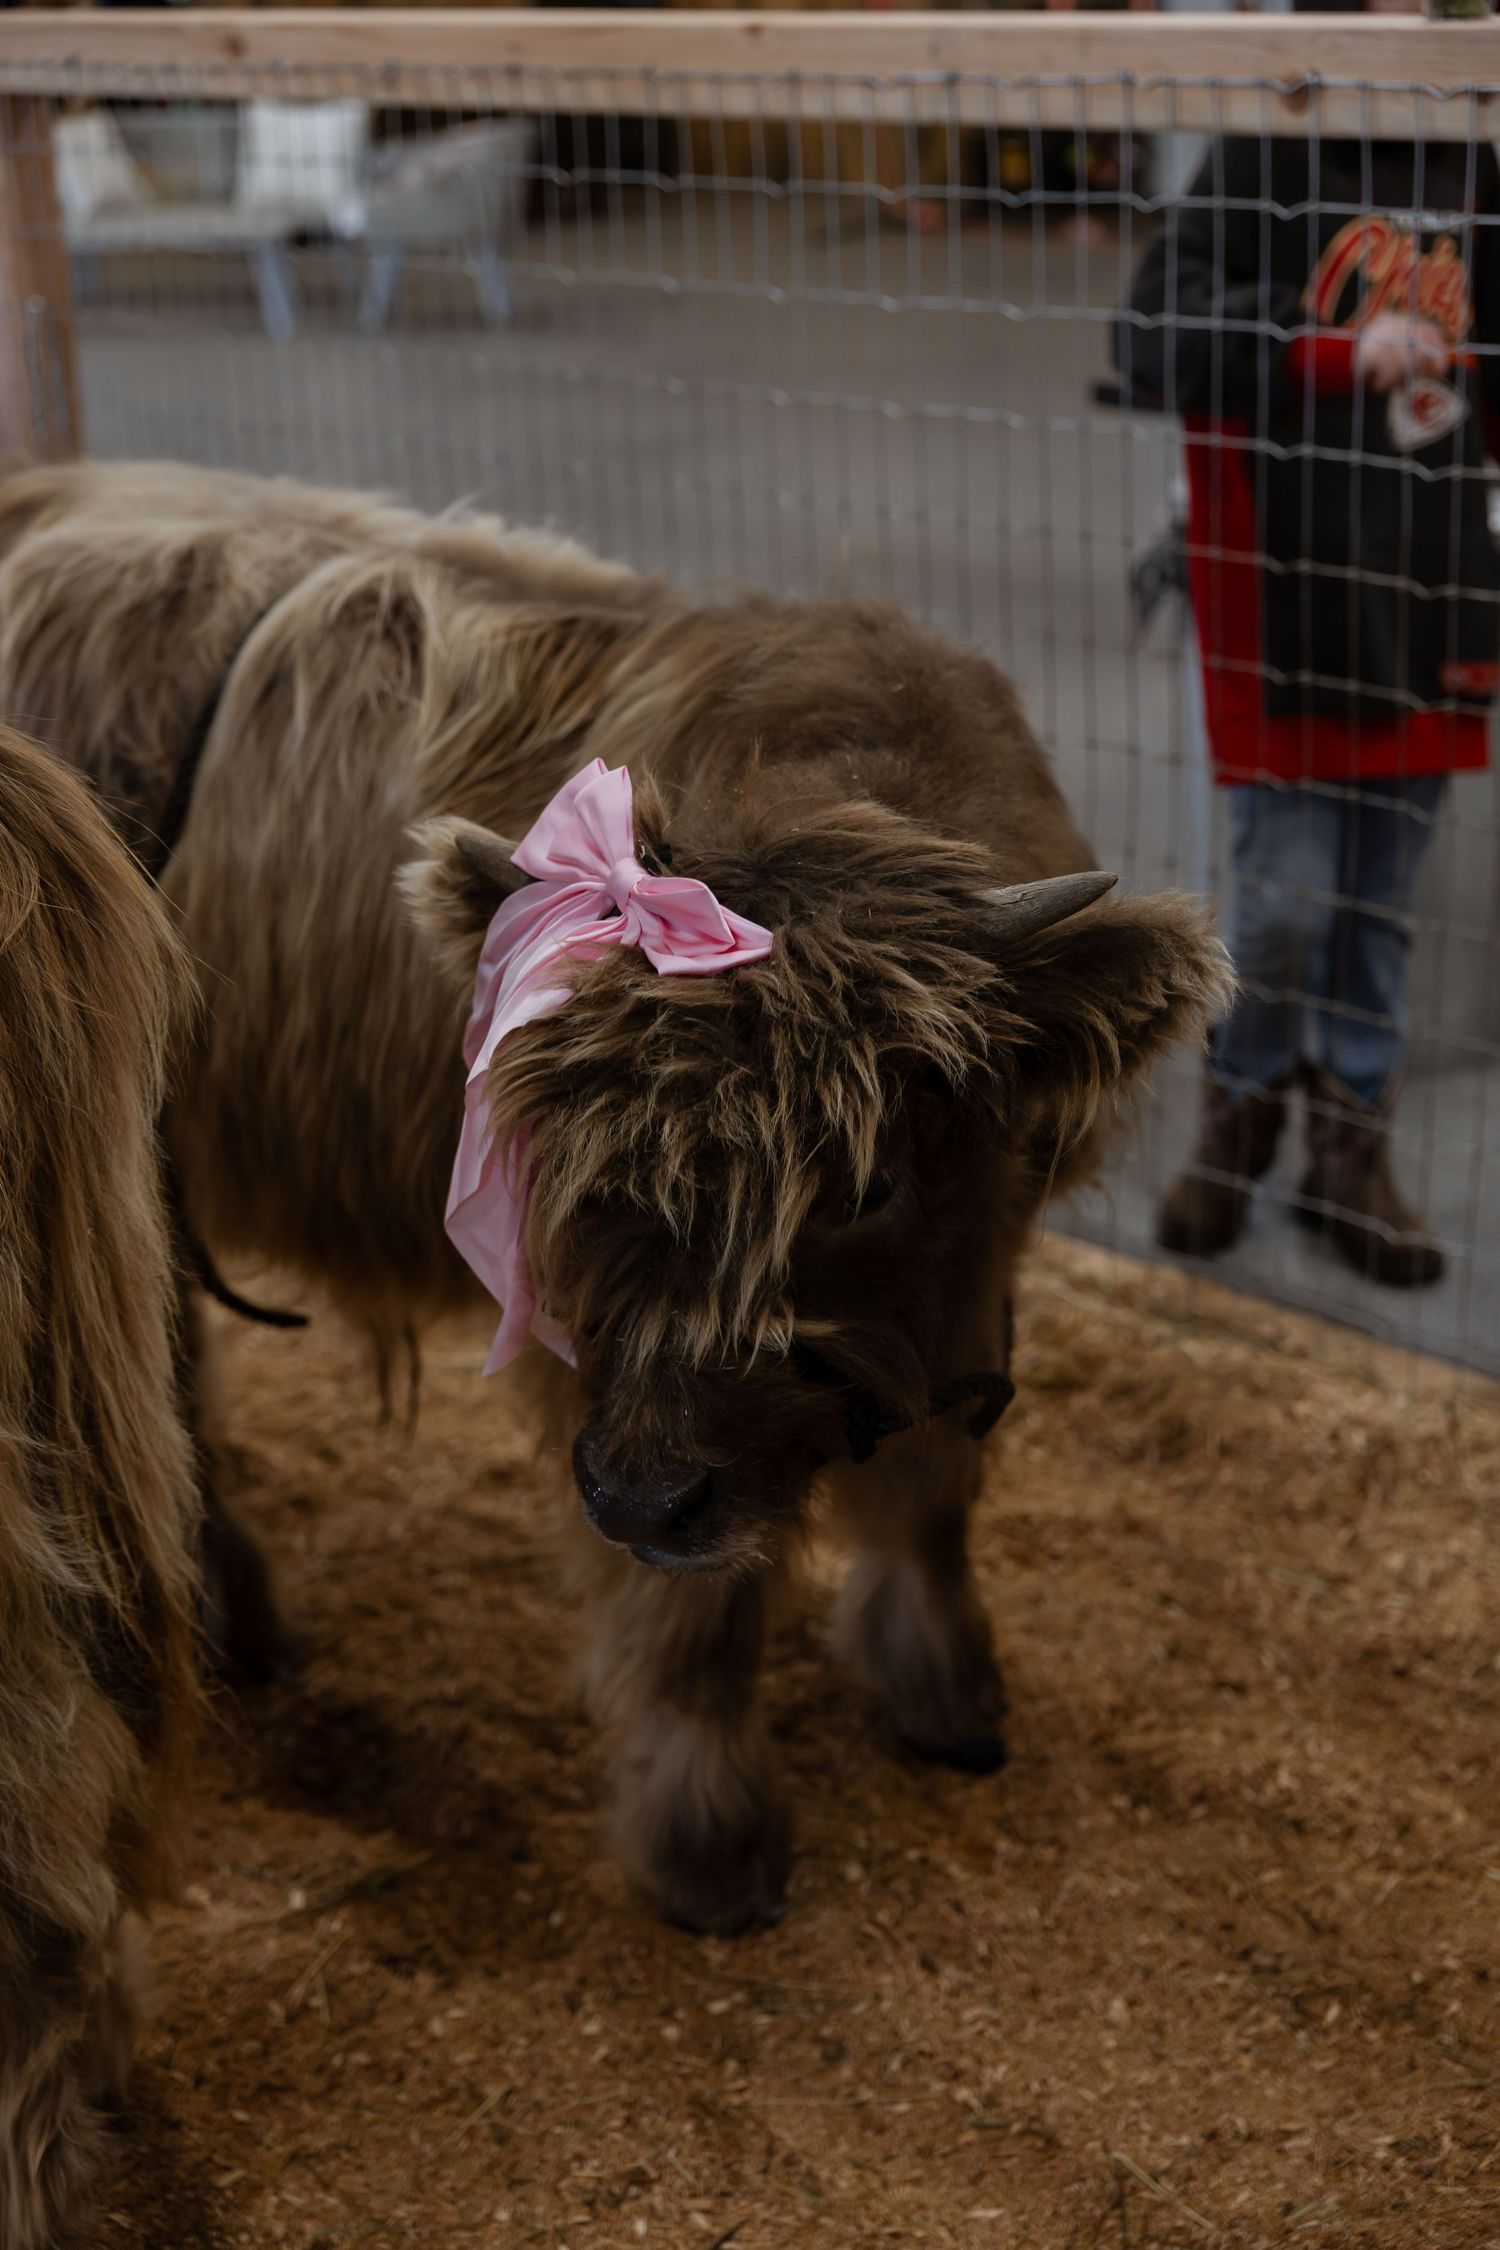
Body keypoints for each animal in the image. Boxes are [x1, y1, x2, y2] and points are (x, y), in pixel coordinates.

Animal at [0, 461, 1230, 1933]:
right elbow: (697, 1624)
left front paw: (945, 1690)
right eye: (561, 1154)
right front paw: (711, 1843)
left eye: (866, 1181)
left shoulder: (977, 1274)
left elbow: (938, 1488)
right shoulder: (595, 1368)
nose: (645, 1499)